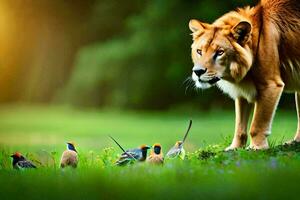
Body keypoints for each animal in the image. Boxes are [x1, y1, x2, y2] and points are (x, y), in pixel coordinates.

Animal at [189, 0, 300, 150]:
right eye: (199, 51)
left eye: (220, 52)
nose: (198, 71)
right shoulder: (242, 92)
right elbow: (239, 127)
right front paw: (234, 148)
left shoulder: (271, 85)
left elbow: (257, 124)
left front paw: (256, 148)